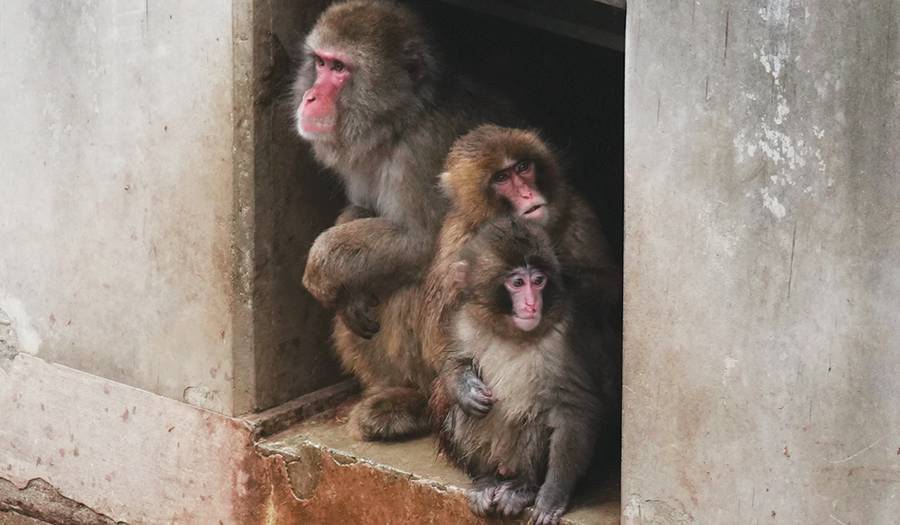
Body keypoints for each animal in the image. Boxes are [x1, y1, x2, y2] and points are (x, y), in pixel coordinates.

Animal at [293, 1, 518, 440]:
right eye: (321, 63)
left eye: (340, 69)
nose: (310, 95)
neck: (401, 123)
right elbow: (362, 211)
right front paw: (348, 290)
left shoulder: (427, 150)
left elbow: (426, 243)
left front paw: (323, 265)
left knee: (415, 285)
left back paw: (416, 404)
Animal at [420, 124, 623, 370]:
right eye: (502, 178)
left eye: (523, 167)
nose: (527, 193)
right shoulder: (455, 244)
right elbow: (437, 345)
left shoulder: (576, 212)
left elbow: (611, 287)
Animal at [431, 217, 618, 525]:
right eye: (517, 283)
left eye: (538, 281)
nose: (531, 304)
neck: (511, 333)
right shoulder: (464, 321)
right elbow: (452, 363)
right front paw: (464, 388)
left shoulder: (564, 339)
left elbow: (576, 408)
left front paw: (552, 495)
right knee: (465, 414)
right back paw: (486, 480)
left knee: (536, 418)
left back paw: (523, 486)